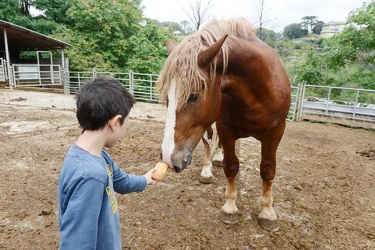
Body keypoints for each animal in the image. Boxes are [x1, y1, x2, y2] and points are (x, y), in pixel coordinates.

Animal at [157, 18, 292, 231]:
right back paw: (207, 170)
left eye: (194, 96)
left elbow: (268, 169)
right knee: (208, 142)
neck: (258, 92)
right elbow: (231, 166)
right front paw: (230, 208)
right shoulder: (225, 129)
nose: (169, 158)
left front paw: (268, 212)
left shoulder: (276, 131)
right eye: (168, 98)